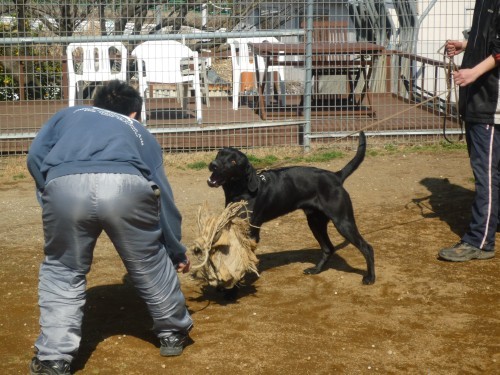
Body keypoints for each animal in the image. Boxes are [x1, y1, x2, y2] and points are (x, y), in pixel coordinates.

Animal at [205, 134, 374, 290]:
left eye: (233, 162)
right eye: (219, 154)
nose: (213, 165)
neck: (242, 191)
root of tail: (336, 176)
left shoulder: (251, 232)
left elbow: (244, 258)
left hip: (343, 222)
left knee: (367, 247)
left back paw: (370, 278)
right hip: (315, 222)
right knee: (328, 248)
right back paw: (316, 270)